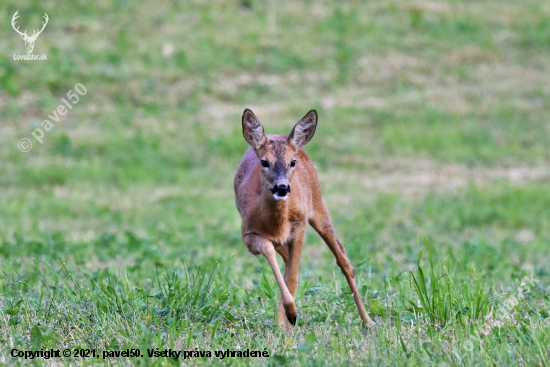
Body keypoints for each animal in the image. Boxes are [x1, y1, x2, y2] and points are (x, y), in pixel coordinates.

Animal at [235, 108, 378, 328]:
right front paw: (287, 317)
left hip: (319, 206)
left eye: (292, 162)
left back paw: (368, 321)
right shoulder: (248, 234)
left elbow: (292, 277)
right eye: (264, 162)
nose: (282, 187)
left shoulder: (299, 225)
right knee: (286, 259)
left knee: (343, 259)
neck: (276, 224)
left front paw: (289, 317)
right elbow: (271, 253)